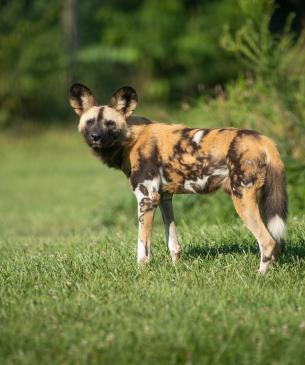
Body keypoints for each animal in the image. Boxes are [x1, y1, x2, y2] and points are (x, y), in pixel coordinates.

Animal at [69, 84, 288, 272]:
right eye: (90, 122)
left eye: (110, 123)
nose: (96, 137)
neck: (130, 137)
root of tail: (264, 140)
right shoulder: (164, 198)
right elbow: (172, 241)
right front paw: (176, 266)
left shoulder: (146, 199)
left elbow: (142, 248)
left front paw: (141, 271)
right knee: (276, 242)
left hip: (242, 197)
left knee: (267, 242)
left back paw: (260, 276)